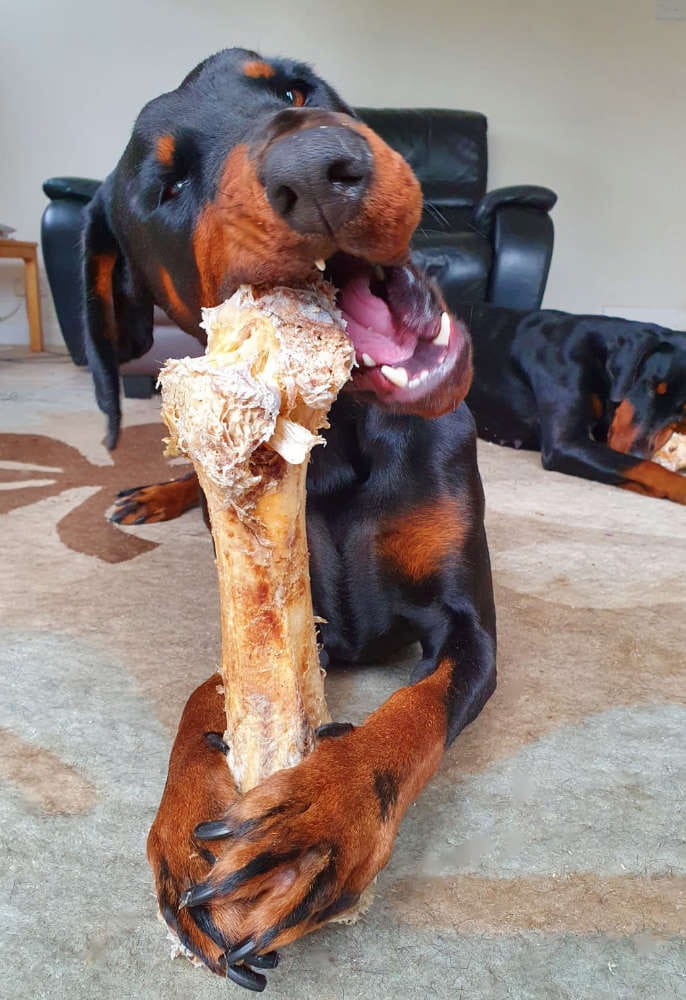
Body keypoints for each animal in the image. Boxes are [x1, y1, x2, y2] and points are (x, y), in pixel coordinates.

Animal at [83, 48, 496, 990]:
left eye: (295, 88)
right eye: (166, 184)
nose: (319, 171)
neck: (341, 447)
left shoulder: (469, 623)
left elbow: (411, 712)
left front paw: (319, 822)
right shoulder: (289, 611)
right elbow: (215, 689)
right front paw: (186, 824)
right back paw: (152, 494)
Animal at [457, 302, 686, 504]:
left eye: (682, 411)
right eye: (650, 386)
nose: (636, 452)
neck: (600, 356)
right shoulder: (566, 443)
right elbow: (646, 467)